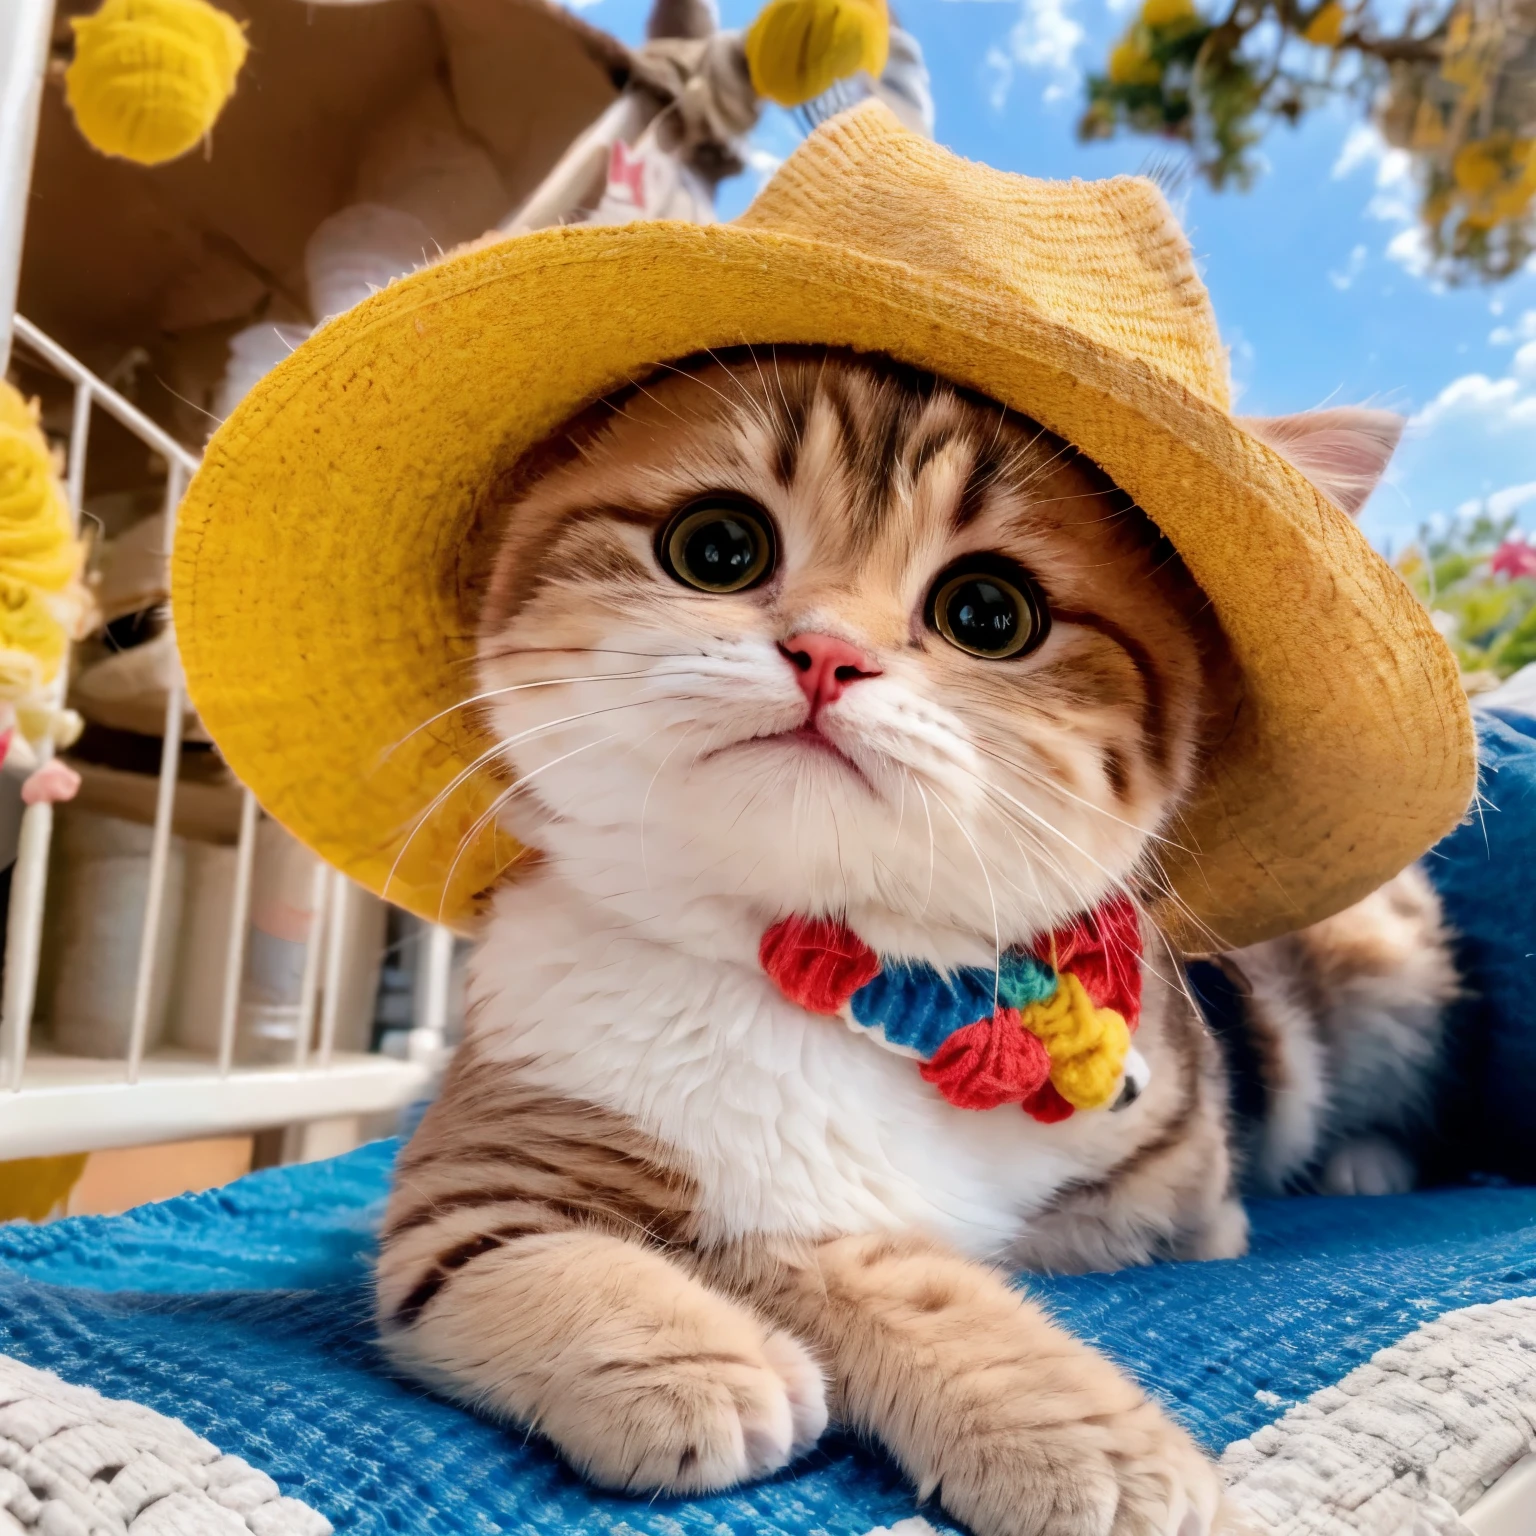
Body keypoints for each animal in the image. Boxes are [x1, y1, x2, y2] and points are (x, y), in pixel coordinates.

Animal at [377, 348, 1443, 1536]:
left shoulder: (1168, 1195)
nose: (825, 653)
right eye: (716, 548)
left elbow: (938, 1260)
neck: (834, 971)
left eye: (987, 611)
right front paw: (699, 1357)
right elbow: (530, 1244)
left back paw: (1367, 1163)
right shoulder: (485, 1157)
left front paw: (1077, 1431)